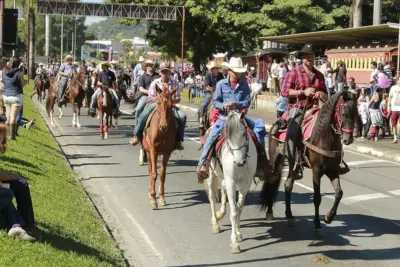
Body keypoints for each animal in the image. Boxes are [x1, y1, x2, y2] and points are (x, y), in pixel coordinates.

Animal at [205, 111, 258, 255]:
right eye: (228, 136)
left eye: (244, 134)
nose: (239, 161)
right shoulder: (231, 182)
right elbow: (233, 212)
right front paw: (234, 243)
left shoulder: (246, 184)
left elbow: (239, 209)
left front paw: (238, 233)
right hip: (212, 176)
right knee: (212, 198)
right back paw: (215, 223)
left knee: (223, 193)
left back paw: (220, 214)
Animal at [260, 91, 360, 238]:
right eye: (343, 112)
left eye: (356, 113)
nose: (348, 139)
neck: (324, 136)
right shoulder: (316, 171)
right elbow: (317, 198)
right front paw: (318, 225)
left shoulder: (333, 171)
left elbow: (339, 193)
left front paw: (329, 217)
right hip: (275, 157)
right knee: (273, 181)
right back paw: (269, 212)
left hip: (293, 164)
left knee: (288, 185)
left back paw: (290, 216)